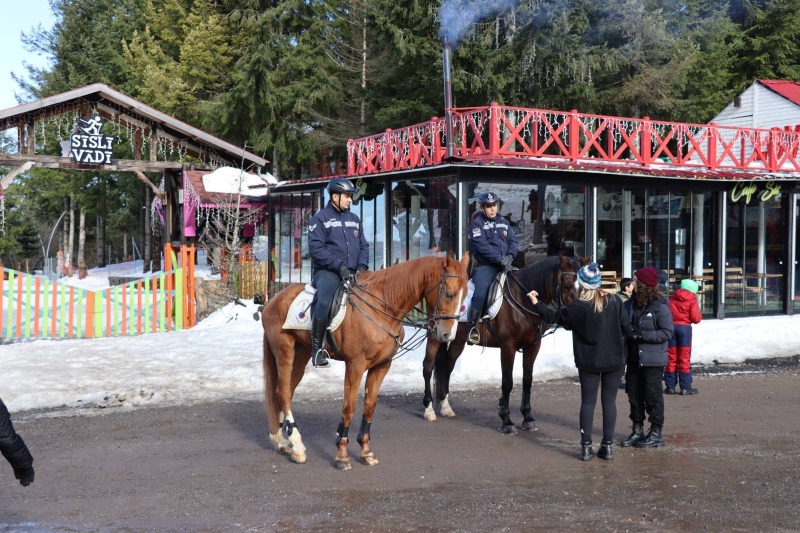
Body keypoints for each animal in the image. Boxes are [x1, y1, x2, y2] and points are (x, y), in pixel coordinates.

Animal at [260, 256, 468, 468]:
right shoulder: (355, 365)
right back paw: (297, 446)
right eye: (450, 294)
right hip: (285, 353)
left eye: (465, 296)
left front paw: (366, 452)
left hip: (300, 356)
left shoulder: (381, 366)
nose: (447, 335)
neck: (382, 308)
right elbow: (349, 407)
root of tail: (272, 301)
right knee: (283, 393)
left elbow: (369, 406)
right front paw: (342, 455)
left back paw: (283, 441)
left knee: (284, 392)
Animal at [422, 254, 584, 432]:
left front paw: (528, 418)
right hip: (436, 335)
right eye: (566, 286)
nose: (575, 316)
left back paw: (445, 405)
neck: (523, 299)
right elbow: (507, 382)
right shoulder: (508, 347)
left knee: (448, 364)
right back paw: (429, 409)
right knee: (429, 366)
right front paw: (506, 421)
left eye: (583, 287)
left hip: (457, 339)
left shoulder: (533, 347)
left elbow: (527, 380)